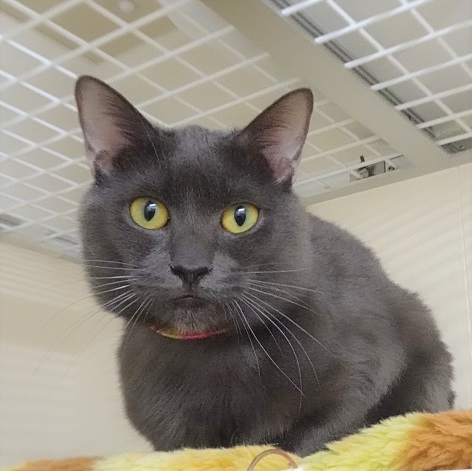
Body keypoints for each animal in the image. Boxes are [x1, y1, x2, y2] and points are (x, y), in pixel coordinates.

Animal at [75, 75, 454, 456]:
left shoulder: (364, 371)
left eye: (240, 217)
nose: (190, 267)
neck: (208, 352)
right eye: (148, 212)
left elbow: (306, 437)